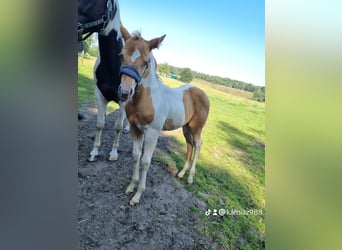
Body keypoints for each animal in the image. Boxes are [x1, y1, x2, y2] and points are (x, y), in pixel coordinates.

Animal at [117, 28, 210, 205]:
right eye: (121, 55)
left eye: (145, 62)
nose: (125, 92)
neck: (146, 99)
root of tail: (201, 91)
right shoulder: (135, 128)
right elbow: (135, 156)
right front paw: (131, 186)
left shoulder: (153, 132)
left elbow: (145, 161)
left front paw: (138, 195)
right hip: (185, 127)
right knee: (190, 145)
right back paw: (181, 173)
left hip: (196, 127)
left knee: (198, 144)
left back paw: (190, 178)